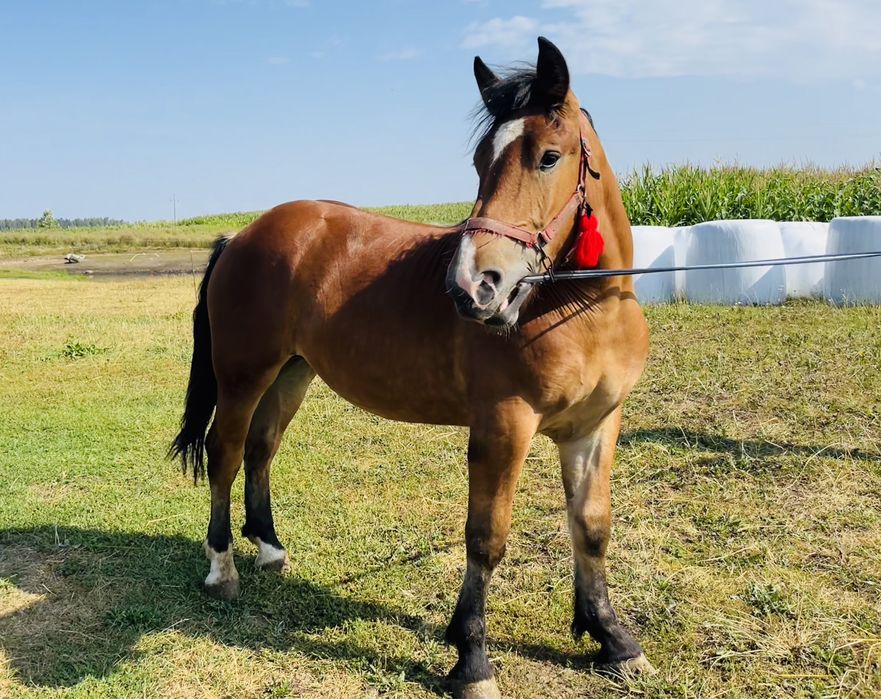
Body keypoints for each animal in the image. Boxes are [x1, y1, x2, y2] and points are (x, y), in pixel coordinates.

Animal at [172, 38, 652, 699]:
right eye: (480, 160)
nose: (473, 285)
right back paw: (222, 571)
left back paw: (268, 549)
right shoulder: (503, 426)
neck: (581, 309)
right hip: (244, 374)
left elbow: (592, 526)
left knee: (260, 448)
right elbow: (486, 537)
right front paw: (471, 661)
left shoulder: (596, 425)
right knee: (225, 452)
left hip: (292, 373)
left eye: (550, 157)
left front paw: (612, 639)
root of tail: (241, 236)